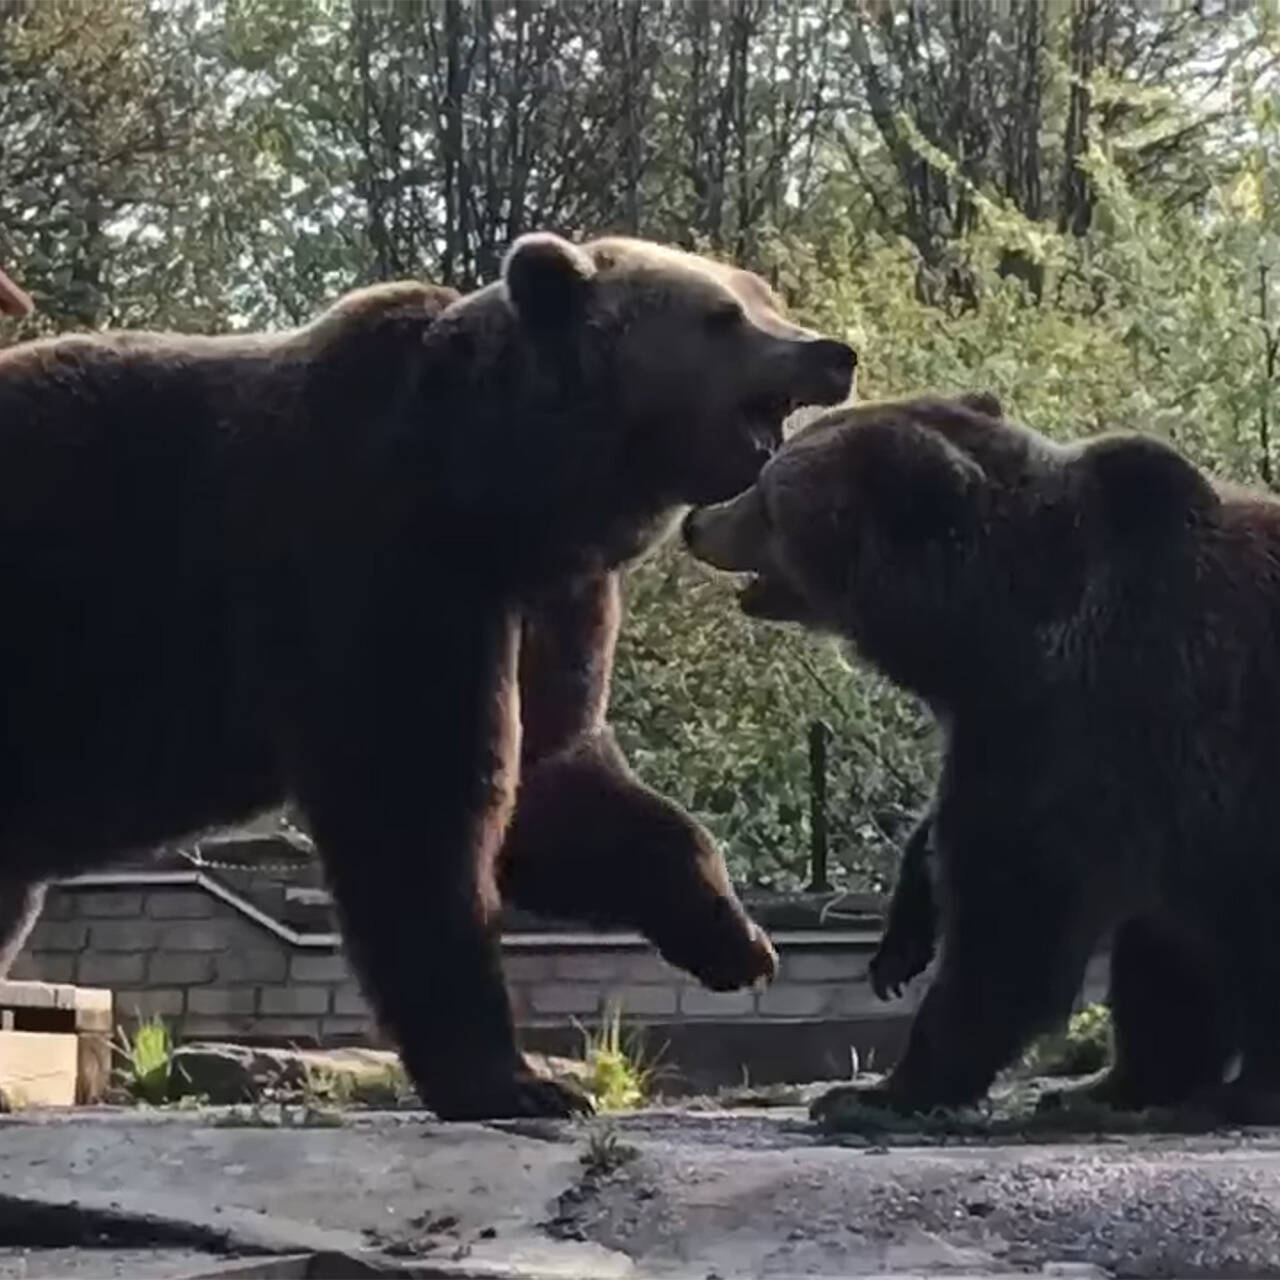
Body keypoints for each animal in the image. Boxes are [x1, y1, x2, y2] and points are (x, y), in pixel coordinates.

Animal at [2, 232, 860, 1121]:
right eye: (723, 317)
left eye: (762, 297)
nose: (834, 351)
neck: (501, 494)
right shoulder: (380, 556)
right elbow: (419, 798)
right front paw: (519, 1080)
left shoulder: (549, 597)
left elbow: (555, 774)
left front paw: (735, 940)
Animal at [691, 389, 1280, 1121]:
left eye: (767, 494)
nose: (696, 522)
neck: (993, 636)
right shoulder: (1029, 735)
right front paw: (900, 945)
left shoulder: (1095, 720)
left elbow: (1009, 916)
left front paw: (877, 1089)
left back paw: (1239, 1092)